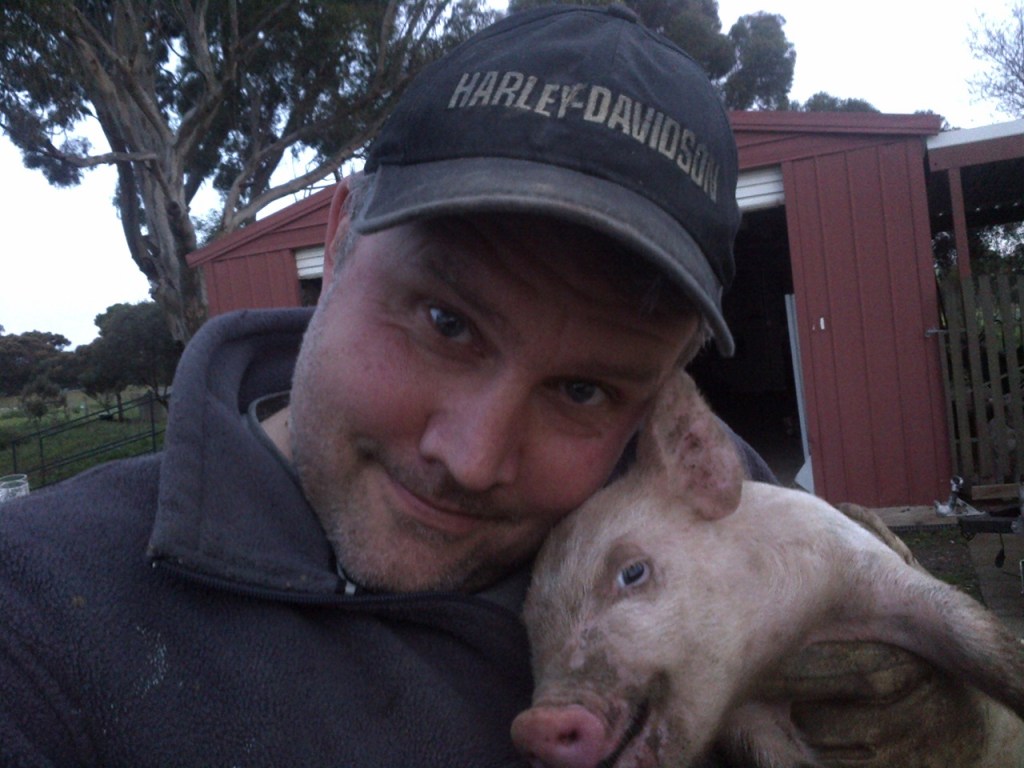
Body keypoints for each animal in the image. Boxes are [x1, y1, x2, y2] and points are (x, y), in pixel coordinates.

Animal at [510, 372, 1024, 768]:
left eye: (632, 572)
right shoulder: (751, 724)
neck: (786, 643)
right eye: (530, 619)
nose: (536, 724)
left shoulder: (868, 567)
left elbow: (973, 632)